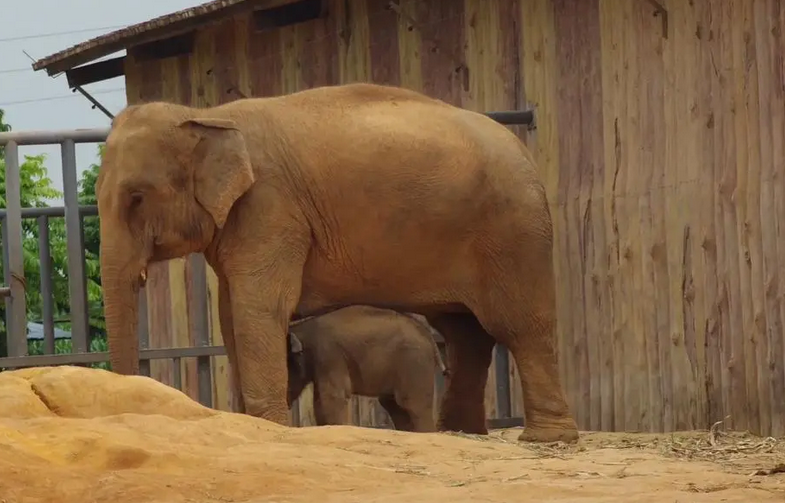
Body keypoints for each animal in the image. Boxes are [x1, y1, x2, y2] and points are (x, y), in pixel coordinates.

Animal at [286, 306, 448, 432]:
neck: (304, 329)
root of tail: (429, 336)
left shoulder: (329, 354)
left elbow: (334, 396)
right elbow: (319, 399)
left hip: (414, 362)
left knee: (414, 406)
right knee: (394, 405)